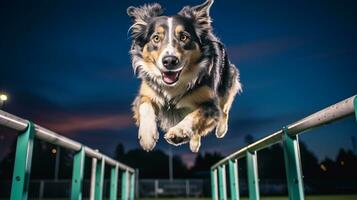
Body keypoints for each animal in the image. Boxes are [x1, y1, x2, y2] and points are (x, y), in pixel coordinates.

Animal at [126, 0, 241, 152]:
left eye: (184, 37)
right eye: (156, 38)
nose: (169, 61)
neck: (174, 85)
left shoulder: (210, 104)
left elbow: (196, 114)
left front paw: (179, 131)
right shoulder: (145, 93)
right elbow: (145, 105)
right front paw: (147, 136)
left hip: (228, 80)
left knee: (225, 109)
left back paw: (220, 130)